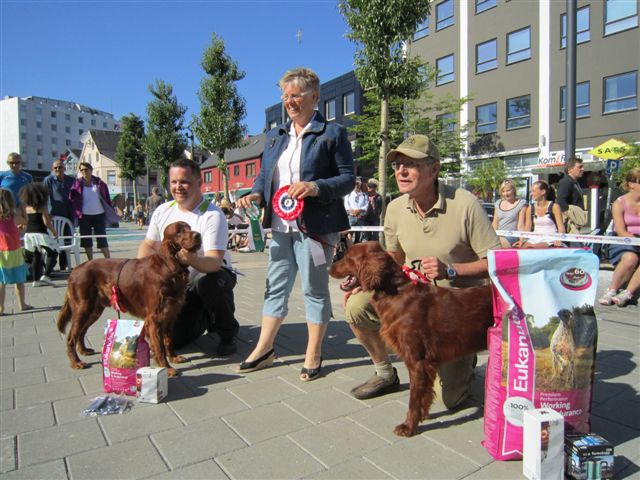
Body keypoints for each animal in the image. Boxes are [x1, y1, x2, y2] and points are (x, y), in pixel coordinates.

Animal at [58, 221, 202, 376]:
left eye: (189, 228)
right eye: (179, 231)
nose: (198, 235)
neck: (168, 267)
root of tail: (75, 271)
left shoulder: (170, 314)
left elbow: (168, 340)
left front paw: (174, 357)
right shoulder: (155, 318)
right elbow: (159, 346)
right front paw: (166, 368)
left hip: (94, 310)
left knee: (81, 331)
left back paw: (84, 350)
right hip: (83, 308)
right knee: (71, 337)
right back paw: (76, 362)